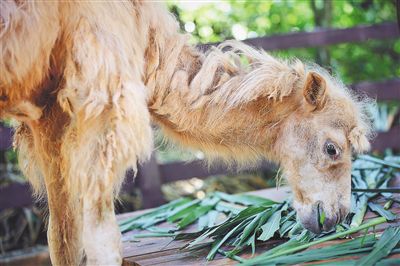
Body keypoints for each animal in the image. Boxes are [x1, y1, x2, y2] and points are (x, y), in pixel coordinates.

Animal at [0, 1, 372, 264]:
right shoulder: (103, 104)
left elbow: (61, 238)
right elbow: (103, 241)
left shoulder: (48, 117)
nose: (337, 215)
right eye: (332, 148)